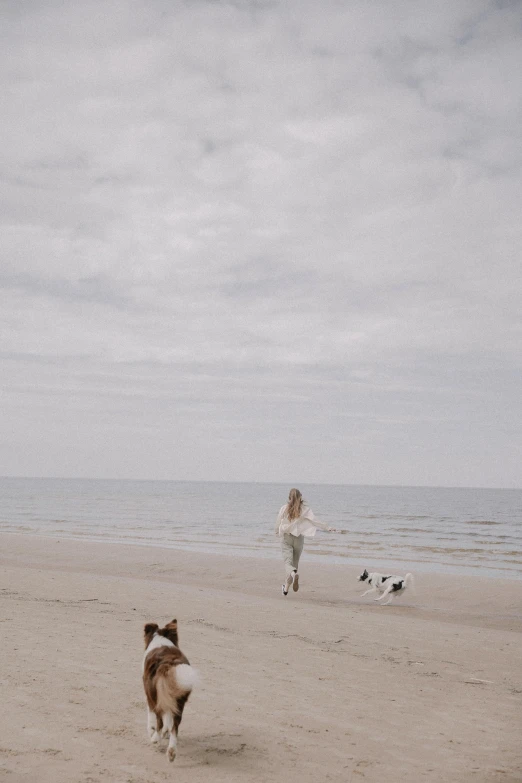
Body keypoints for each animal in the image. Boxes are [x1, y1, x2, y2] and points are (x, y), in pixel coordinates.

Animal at [141, 620, 196, 764]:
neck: (160, 640)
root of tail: (168, 663)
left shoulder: (150, 696)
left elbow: (152, 716)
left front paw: (152, 732)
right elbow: (169, 719)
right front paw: (166, 731)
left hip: (155, 695)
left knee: (159, 719)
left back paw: (155, 739)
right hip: (179, 701)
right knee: (175, 726)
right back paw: (171, 752)